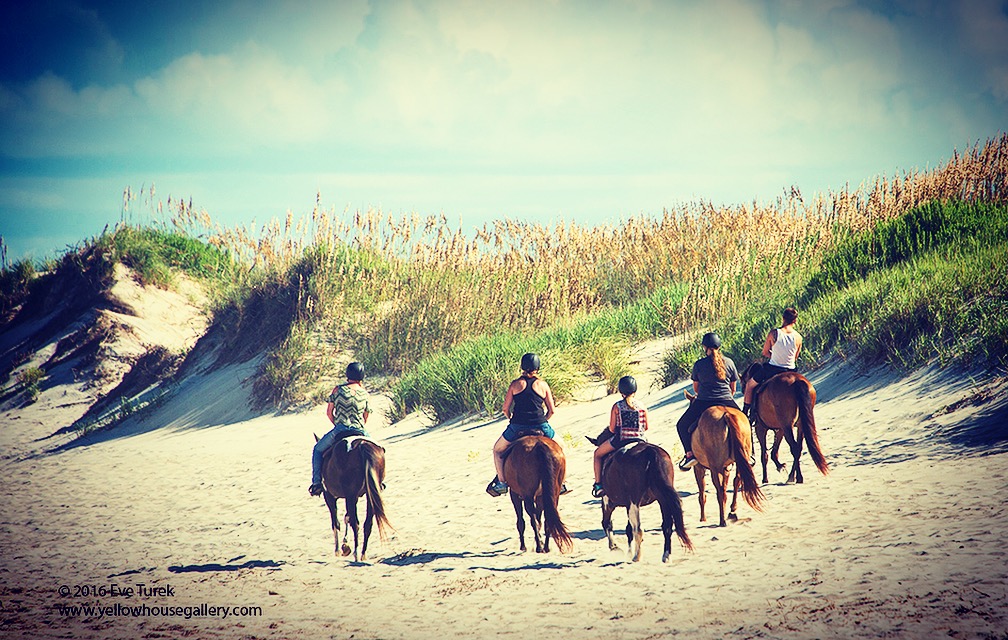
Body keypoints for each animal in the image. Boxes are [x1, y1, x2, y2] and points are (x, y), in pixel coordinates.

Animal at [584, 433, 693, 564]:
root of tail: (651, 452)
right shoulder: (628, 504)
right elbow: (628, 529)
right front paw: (628, 552)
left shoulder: (608, 501)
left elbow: (607, 523)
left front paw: (615, 548)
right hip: (663, 498)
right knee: (666, 526)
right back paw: (666, 556)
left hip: (634, 501)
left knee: (638, 529)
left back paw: (637, 556)